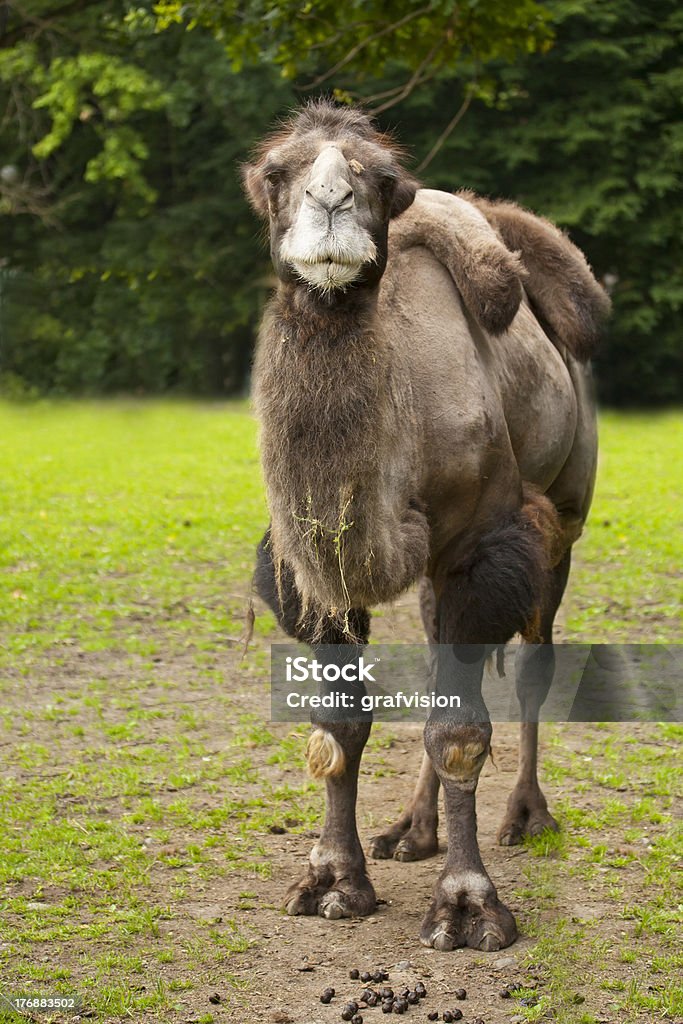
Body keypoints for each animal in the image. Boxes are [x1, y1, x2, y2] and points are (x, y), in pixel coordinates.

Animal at [244, 99, 610, 946]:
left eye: (383, 181)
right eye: (275, 174)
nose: (331, 203)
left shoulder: (483, 545)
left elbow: (461, 730)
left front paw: (468, 905)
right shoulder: (312, 565)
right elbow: (340, 723)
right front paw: (332, 879)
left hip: (565, 516)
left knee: (535, 664)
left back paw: (526, 816)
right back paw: (412, 829)